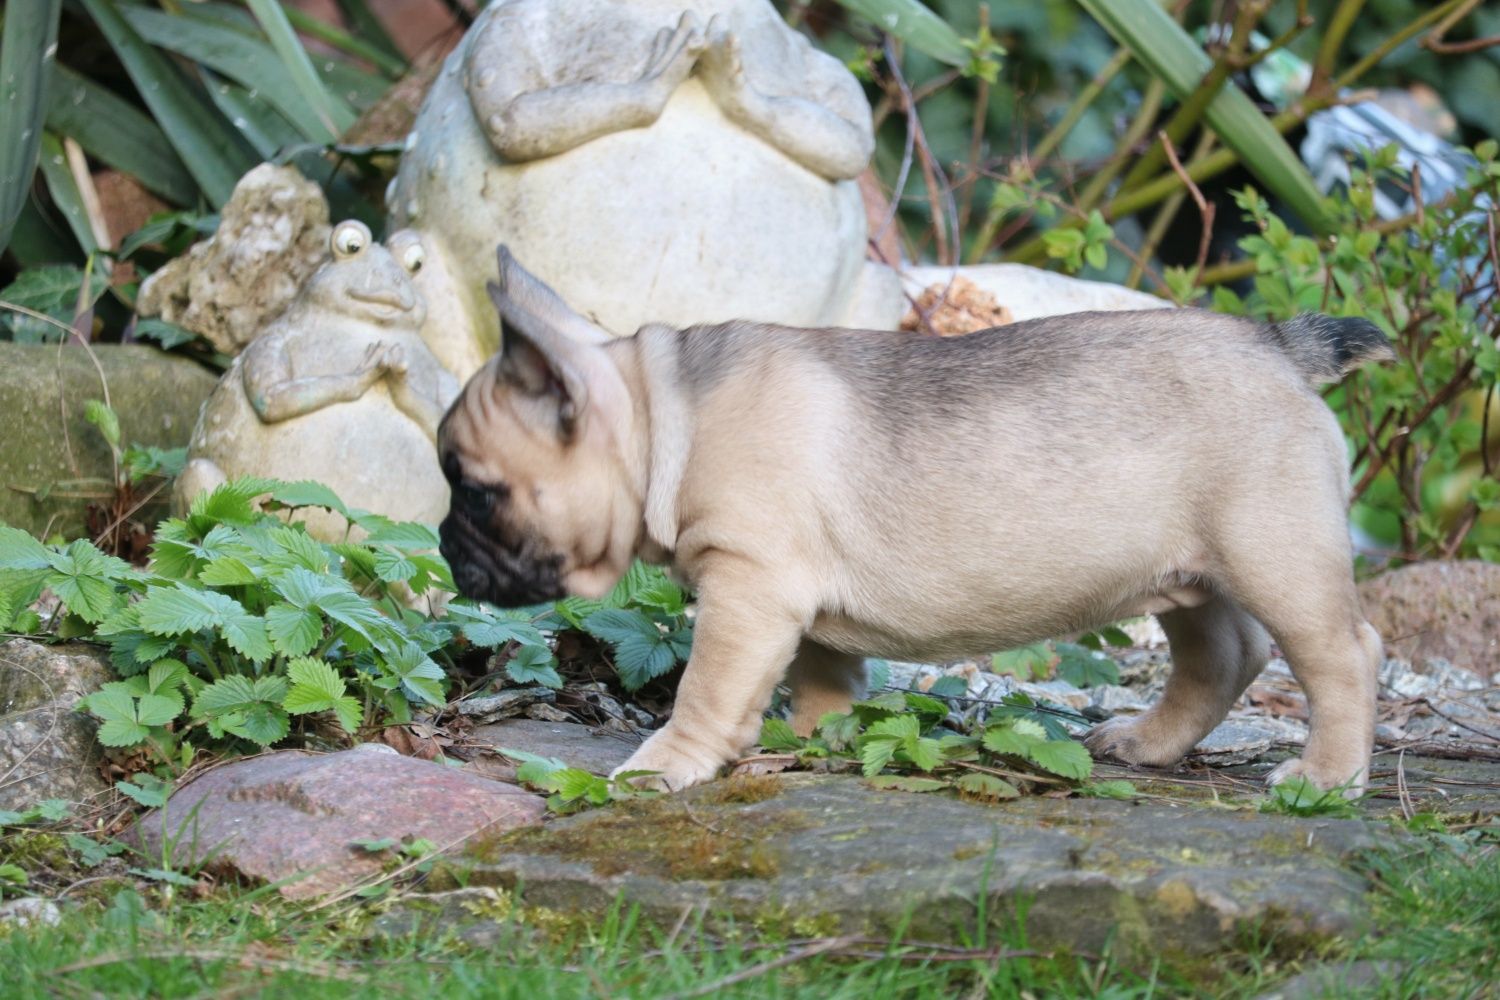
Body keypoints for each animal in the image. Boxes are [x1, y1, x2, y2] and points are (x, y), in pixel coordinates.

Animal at [438, 250, 1392, 797]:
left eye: (475, 492)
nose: (445, 544)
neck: (670, 419)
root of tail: (1277, 345)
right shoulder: (792, 604)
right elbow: (823, 672)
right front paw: (812, 736)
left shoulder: (748, 587)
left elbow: (708, 687)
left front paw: (671, 762)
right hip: (1188, 571)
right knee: (1224, 656)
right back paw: (1148, 744)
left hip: (1274, 554)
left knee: (1343, 655)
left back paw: (1325, 780)